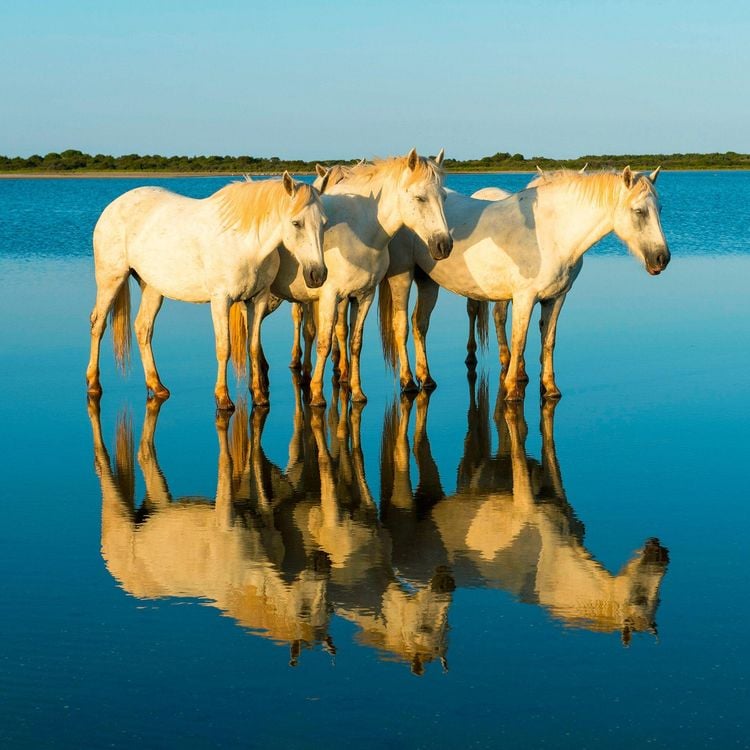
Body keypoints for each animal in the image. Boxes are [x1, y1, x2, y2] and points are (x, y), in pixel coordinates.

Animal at [86, 172, 328, 411]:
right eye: (296, 223)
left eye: (324, 223)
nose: (318, 274)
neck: (245, 242)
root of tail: (113, 206)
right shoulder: (221, 299)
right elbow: (224, 347)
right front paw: (223, 398)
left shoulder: (257, 299)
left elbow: (253, 347)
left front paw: (260, 398)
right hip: (111, 279)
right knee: (98, 324)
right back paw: (94, 385)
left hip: (152, 288)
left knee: (143, 329)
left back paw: (157, 386)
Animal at [231, 149, 453, 407]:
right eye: (419, 198)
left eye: (444, 198)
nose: (444, 245)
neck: (360, 232)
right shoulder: (329, 296)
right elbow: (325, 342)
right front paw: (317, 394)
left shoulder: (364, 296)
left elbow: (355, 342)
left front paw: (356, 392)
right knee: (251, 333)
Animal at [380, 166, 669, 400]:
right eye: (638, 211)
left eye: (660, 210)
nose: (662, 258)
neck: (552, 232)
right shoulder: (524, 298)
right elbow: (519, 339)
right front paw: (512, 390)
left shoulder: (556, 298)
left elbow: (548, 340)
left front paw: (550, 388)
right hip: (403, 277)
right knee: (401, 325)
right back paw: (408, 382)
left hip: (428, 281)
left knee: (420, 324)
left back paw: (426, 379)